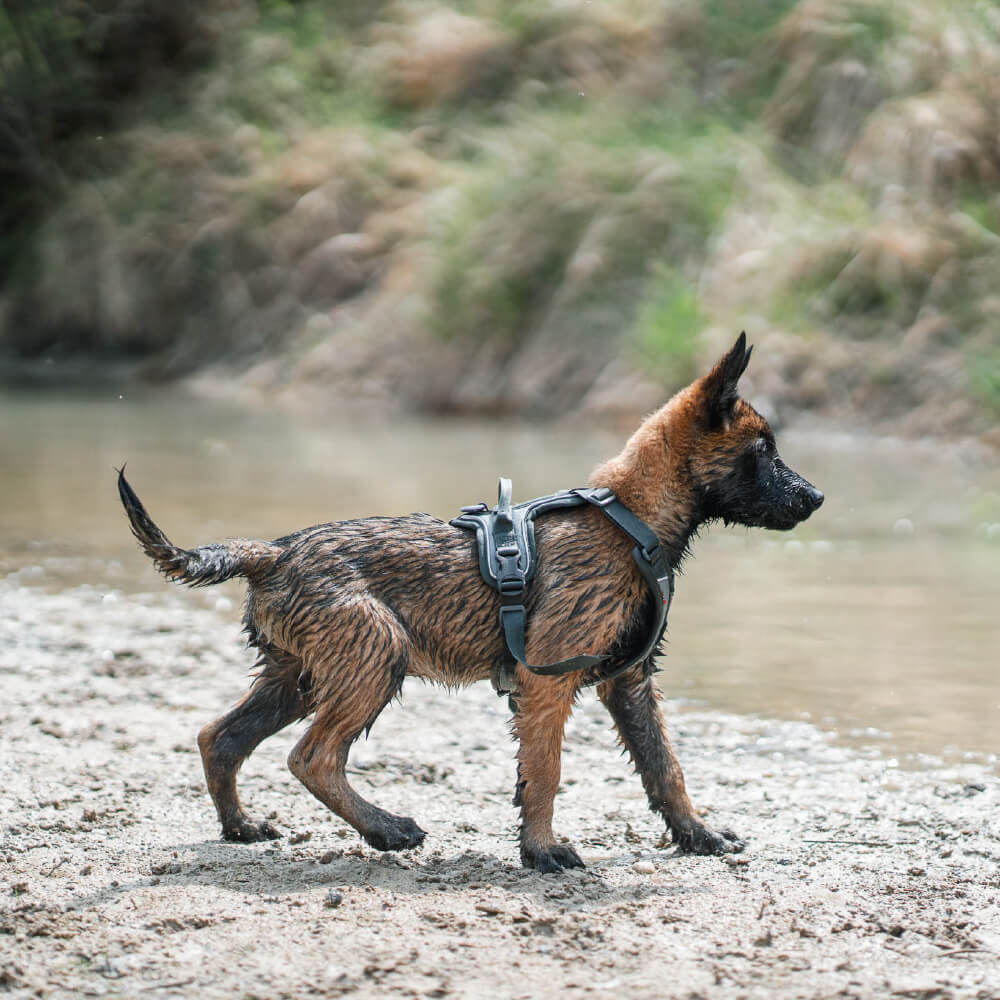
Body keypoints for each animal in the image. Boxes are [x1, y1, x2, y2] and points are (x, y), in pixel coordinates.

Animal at [119, 332, 820, 872]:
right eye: (763, 452)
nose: (815, 498)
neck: (629, 521)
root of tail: (273, 551)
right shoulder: (547, 683)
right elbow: (546, 770)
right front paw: (542, 850)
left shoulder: (630, 682)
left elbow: (665, 768)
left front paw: (698, 835)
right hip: (375, 652)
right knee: (311, 757)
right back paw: (387, 829)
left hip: (298, 675)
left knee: (221, 738)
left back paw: (241, 827)